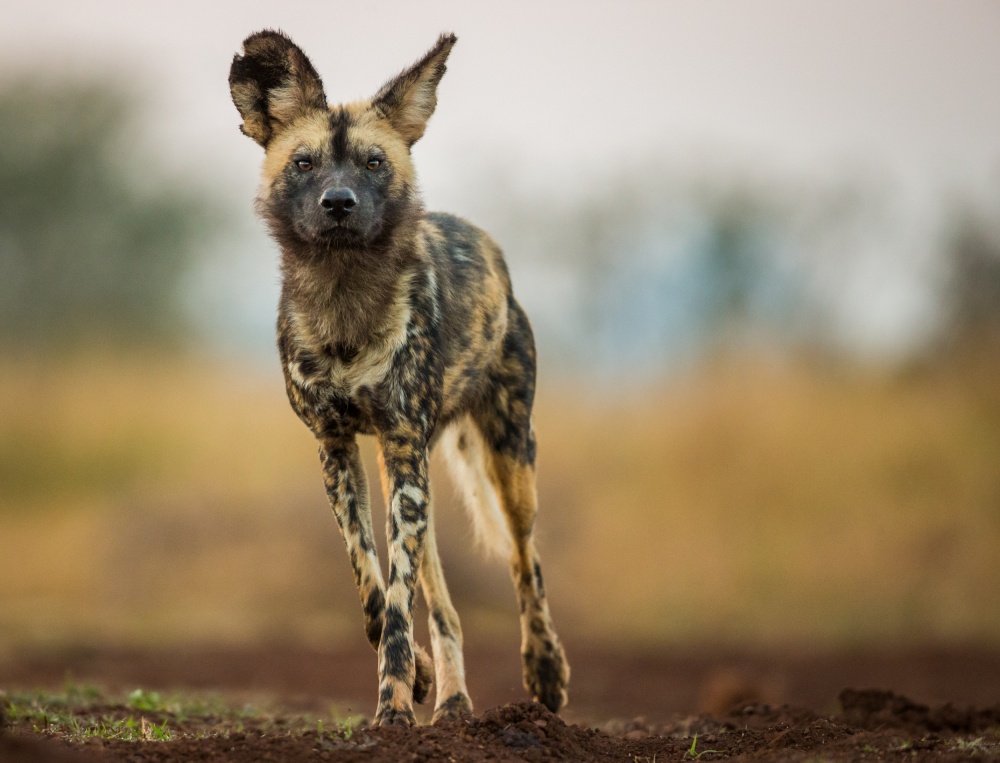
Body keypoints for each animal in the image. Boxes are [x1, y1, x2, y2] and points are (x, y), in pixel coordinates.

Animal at [229, 31, 572, 728]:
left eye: (372, 163)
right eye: (303, 163)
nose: (338, 204)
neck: (344, 304)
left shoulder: (406, 451)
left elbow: (395, 604)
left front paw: (391, 711)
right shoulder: (338, 451)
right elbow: (372, 587)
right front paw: (414, 680)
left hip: (506, 462)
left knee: (525, 561)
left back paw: (544, 674)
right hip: (406, 474)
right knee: (444, 606)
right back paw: (453, 703)